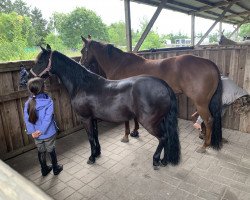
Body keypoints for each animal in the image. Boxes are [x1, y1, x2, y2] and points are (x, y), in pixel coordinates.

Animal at [29, 45, 181, 169]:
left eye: (40, 61)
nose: (28, 79)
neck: (82, 85)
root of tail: (164, 85)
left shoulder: (85, 118)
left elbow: (90, 137)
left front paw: (91, 158)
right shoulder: (93, 118)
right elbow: (96, 135)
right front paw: (97, 153)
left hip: (149, 122)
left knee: (163, 138)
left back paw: (156, 160)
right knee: (167, 137)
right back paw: (164, 160)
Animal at [80, 36, 223, 152]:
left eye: (82, 51)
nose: (82, 65)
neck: (119, 64)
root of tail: (211, 64)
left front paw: (126, 136)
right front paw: (135, 131)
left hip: (201, 103)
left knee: (208, 120)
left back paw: (204, 146)